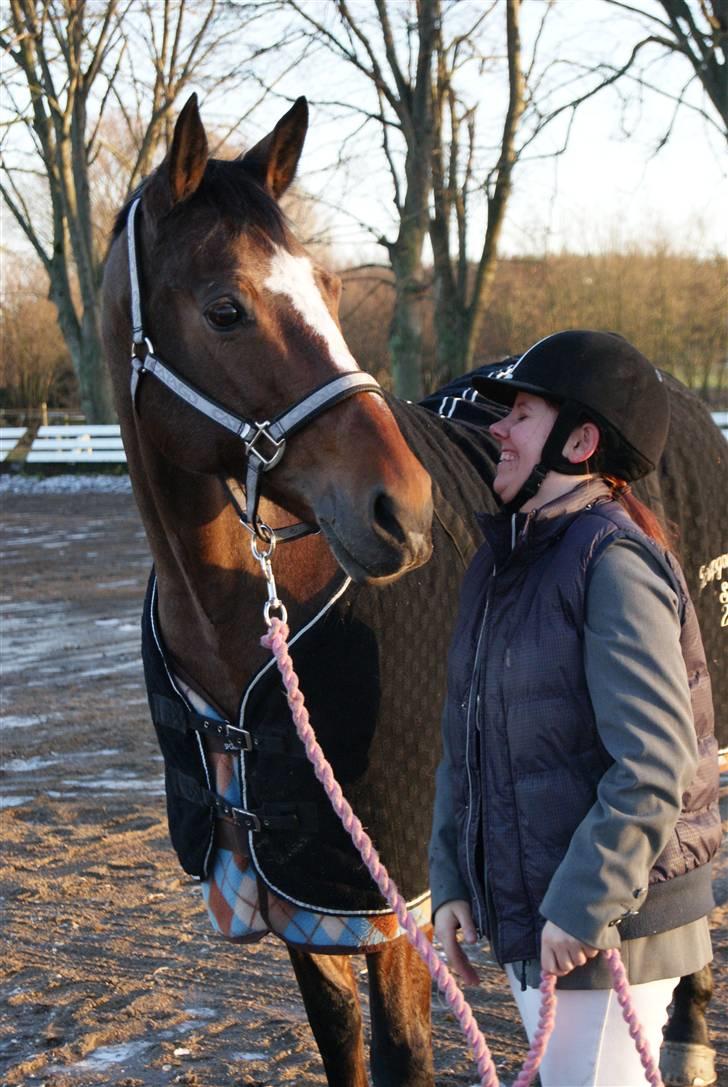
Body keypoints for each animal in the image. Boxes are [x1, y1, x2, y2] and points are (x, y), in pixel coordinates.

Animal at [104, 95, 728, 1087]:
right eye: (225, 307)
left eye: (325, 286)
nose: (403, 505)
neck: (245, 627)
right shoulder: (305, 898)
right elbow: (342, 1049)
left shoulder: (391, 904)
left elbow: (402, 1056)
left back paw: (692, 1036)